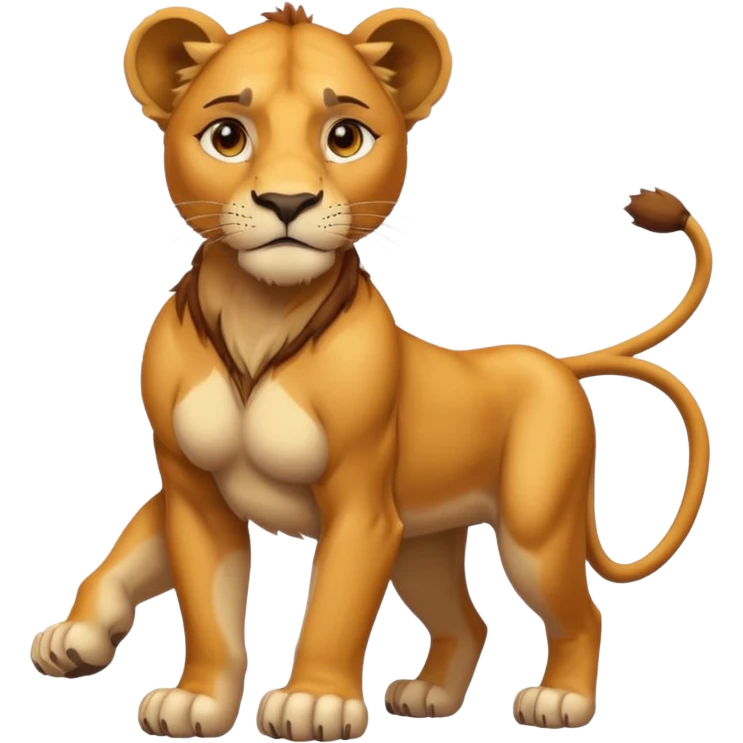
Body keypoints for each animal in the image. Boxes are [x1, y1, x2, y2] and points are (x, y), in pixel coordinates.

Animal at [30, 2, 712, 740]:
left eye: (345, 138)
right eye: (227, 137)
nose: (287, 202)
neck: (258, 314)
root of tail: (552, 360)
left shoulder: (361, 504)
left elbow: (334, 604)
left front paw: (313, 702)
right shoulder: (195, 493)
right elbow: (198, 604)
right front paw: (195, 699)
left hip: (532, 531)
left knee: (581, 614)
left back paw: (559, 700)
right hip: (423, 542)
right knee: (466, 621)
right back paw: (429, 695)